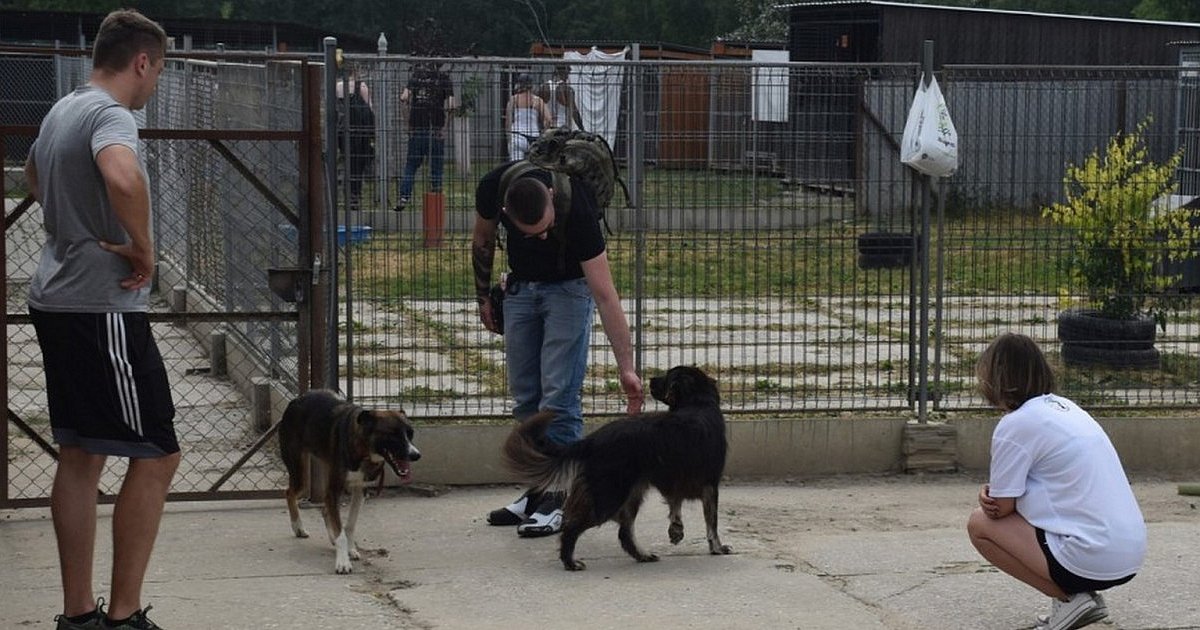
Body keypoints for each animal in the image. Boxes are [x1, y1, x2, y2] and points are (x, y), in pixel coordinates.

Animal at [279, 386, 420, 571]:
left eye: (410, 434)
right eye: (393, 434)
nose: (416, 455)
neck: (364, 450)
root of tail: (295, 400)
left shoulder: (361, 489)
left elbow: (350, 525)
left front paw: (350, 549)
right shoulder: (334, 490)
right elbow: (341, 532)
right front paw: (342, 561)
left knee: (324, 509)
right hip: (301, 473)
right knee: (289, 493)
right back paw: (298, 527)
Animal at [499, 362, 724, 568]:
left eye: (667, 377)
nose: (650, 380)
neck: (697, 402)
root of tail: (592, 439)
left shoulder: (676, 479)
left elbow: (676, 505)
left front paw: (676, 531)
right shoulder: (710, 485)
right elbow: (712, 522)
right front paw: (718, 548)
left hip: (630, 494)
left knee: (624, 533)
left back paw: (642, 555)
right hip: (609, 496)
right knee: (573, 527)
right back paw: (570, 562)